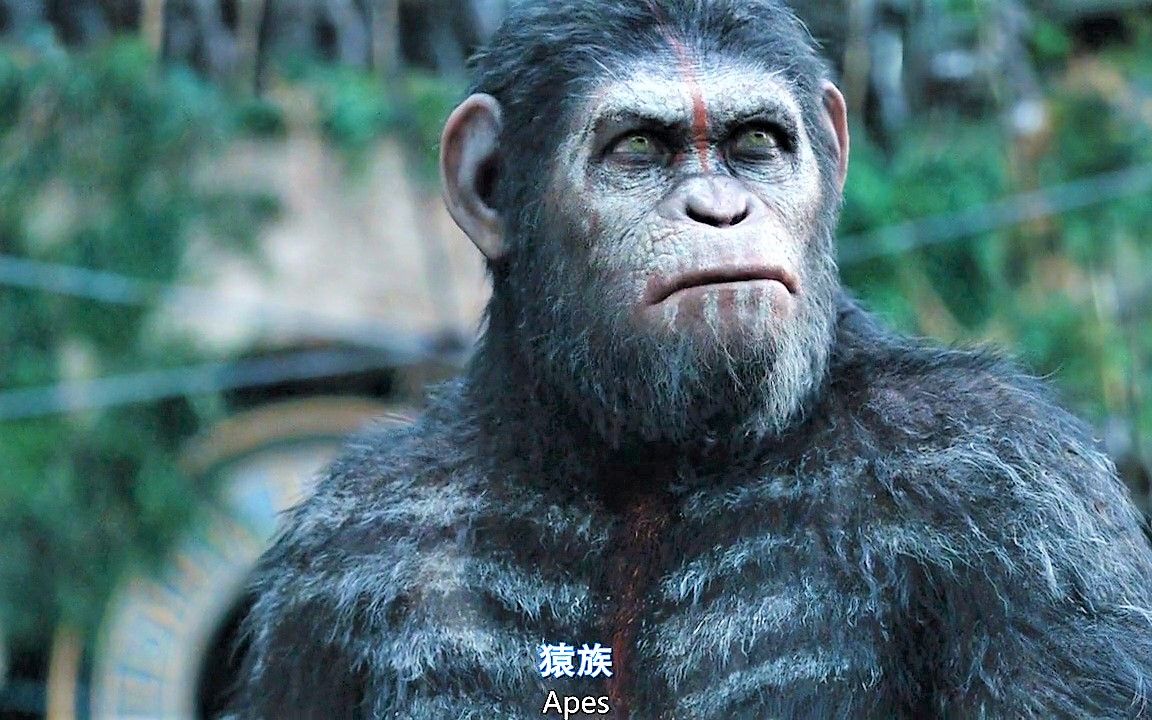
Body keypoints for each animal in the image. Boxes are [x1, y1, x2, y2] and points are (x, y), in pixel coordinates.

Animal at [233, 1, 1152, 718]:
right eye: (639, 147)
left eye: (756, 143)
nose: (719, 208)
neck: (642, 453)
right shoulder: (327, 567)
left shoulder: (1023, 503)